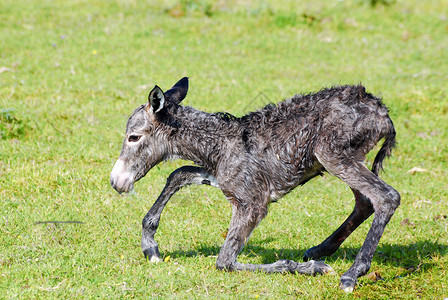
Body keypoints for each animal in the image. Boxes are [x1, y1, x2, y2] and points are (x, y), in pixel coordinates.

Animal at [110, 76, 400, 292]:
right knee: (365, 202)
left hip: (332, 154)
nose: (117, 181)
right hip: (347, 158)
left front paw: (312, 269)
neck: (221, 145)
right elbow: (179, 173)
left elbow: (224, 262)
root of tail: (383, 113)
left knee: (387, 196)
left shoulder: (253, 202)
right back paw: (321, 249)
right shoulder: (224, 180)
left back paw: (351, 274)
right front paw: (150, 247)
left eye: (134, 137)